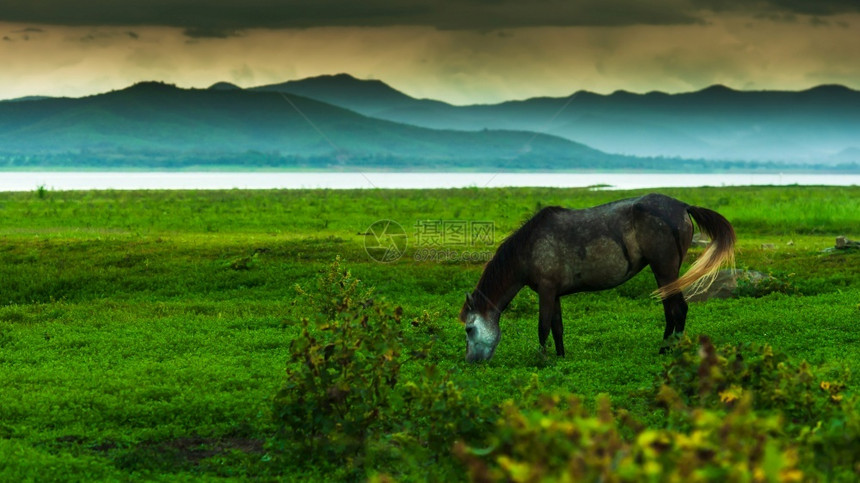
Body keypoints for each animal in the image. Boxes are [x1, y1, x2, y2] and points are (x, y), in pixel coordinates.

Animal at [460, 194, 736, 364]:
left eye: (469, 329)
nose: (471, 361)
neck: (528, 248)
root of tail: (683, 206)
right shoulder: (554, 293)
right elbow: (557, 328)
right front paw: (560, 358)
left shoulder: (546, 291)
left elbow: (542, 327)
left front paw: (542, 360)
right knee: (672, 309)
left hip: (664, 269)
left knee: (677, 308)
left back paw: (666, 349)